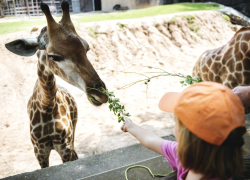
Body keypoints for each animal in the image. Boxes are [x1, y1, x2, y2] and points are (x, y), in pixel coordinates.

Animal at [3, 0, 107, 168]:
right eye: (54, 56)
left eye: (86, 49)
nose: (101, 95)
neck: (46, 105)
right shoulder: (39, 151)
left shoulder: (64, 147)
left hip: (73, 134)